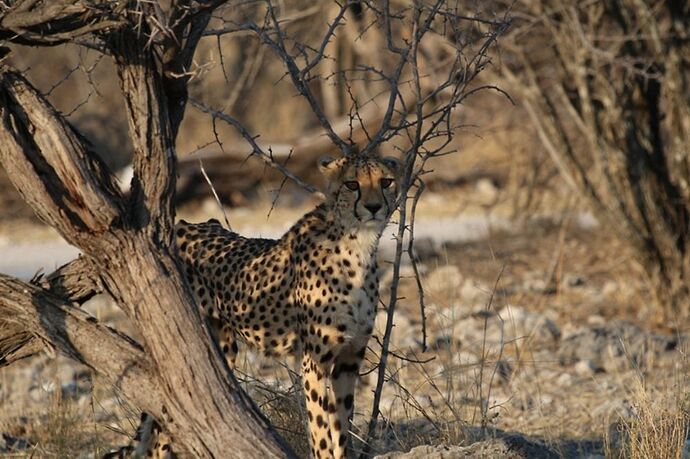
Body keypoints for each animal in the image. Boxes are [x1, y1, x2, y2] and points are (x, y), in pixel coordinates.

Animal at [110, 155, 400, 459]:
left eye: (386, 181)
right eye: (352, 184)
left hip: (222, 348)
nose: (373, 207)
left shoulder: (348, 359)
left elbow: (342, 426)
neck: (357, 244)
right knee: (162, 435)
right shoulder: (314, 362)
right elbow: (320, 430)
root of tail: (182, 226)